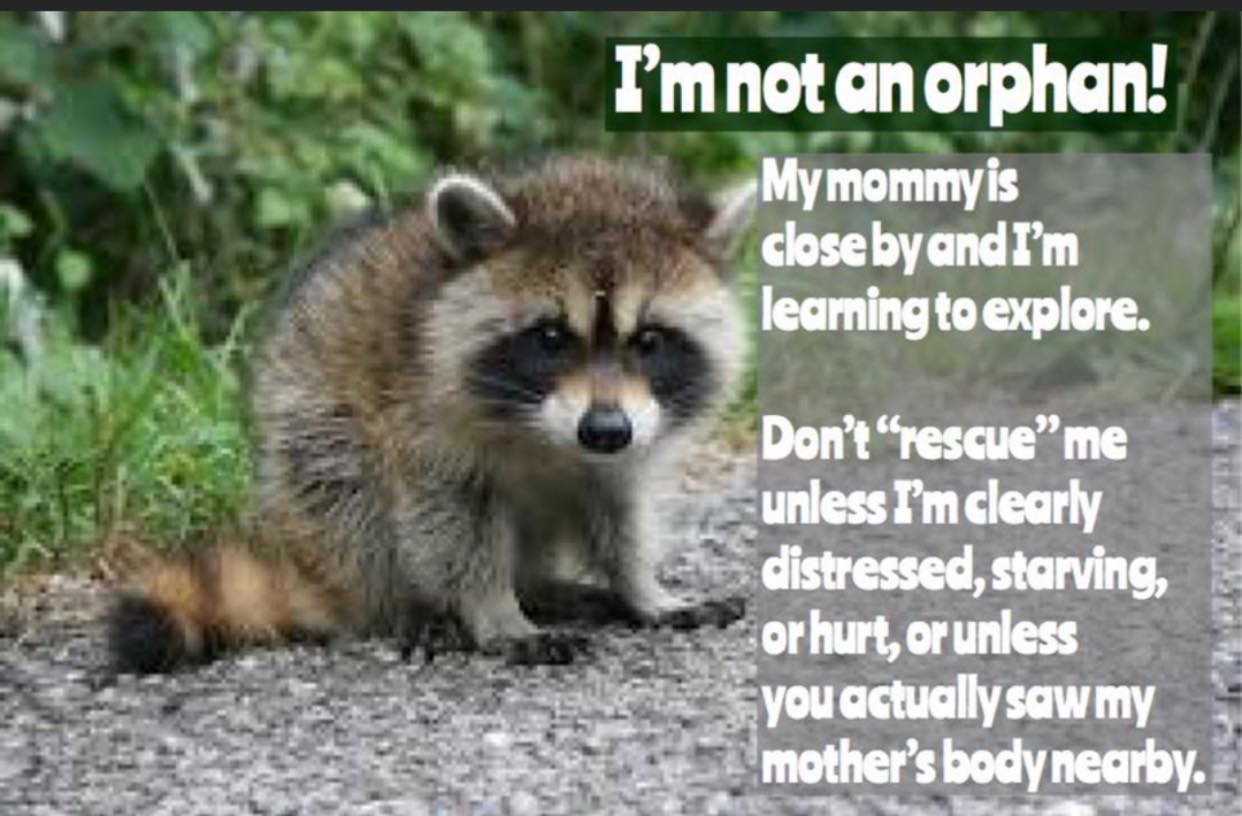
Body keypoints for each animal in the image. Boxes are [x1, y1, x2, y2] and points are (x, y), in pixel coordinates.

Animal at [108, 156, 754, 672]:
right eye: (550, 338)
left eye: (649, 340)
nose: (603, 430)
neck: (547, 438)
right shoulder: (418, 419)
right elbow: (452, 525)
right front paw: (494, 612)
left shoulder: (629, 442)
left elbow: (621, 514)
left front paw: (642, 587)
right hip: (309, 435)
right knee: (350, 489)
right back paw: (415, 606)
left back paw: (544, 589)